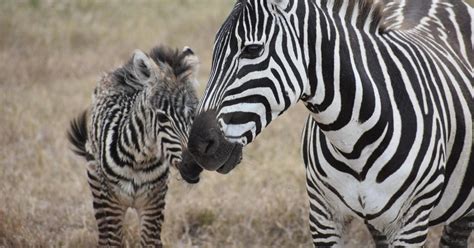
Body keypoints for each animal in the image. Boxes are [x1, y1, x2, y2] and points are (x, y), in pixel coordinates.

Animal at [68, 45, 198, 247]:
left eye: (194, 114)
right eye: (162, 118)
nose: (194, 167)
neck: (140, 160)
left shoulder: (154, 203)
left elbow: (150, 242)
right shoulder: (111, 203)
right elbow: (113, 242)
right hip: (97, 188)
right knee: (104, 238)